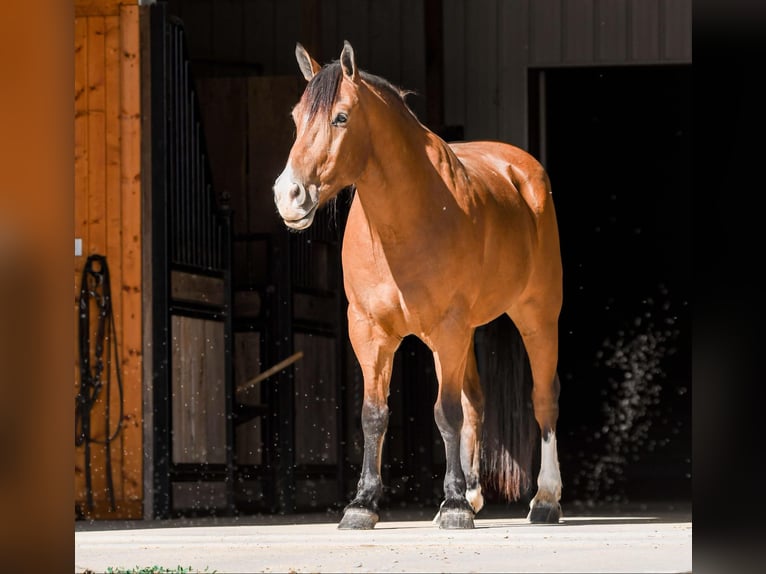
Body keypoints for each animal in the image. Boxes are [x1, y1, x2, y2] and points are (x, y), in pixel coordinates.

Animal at [274, 42, 564, 532]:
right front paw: (362, 504)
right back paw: (474, 491)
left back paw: (545, 499)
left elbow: (444, 414)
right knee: (475, 403)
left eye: (341, 117)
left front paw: (452, 505)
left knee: (543, 399)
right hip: (468, 336)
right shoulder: (369, 332)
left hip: (535, 318)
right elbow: (374, 415)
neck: (407, 222)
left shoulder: (448, 330)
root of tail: (523, 172)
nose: (288, 196)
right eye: (295, 117)